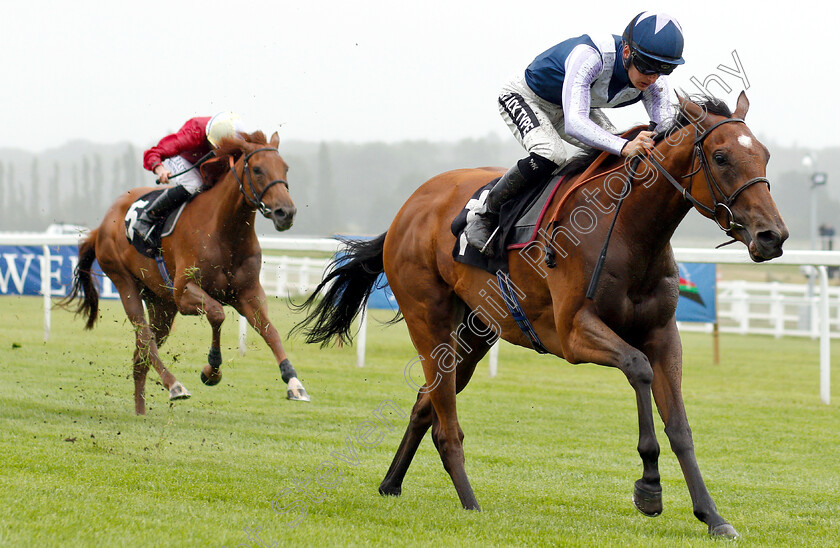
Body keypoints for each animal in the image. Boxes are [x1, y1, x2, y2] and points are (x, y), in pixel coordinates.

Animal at [60, 132, 308, 416]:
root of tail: (102, 225)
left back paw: (141, 411)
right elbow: (217, 313)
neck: (224, 231)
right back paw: (174, 385)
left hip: (161, 304)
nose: (286, 212)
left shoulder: (248, 294)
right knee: (145, 339)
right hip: (124, 282)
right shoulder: (184, 292)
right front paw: (211, 370)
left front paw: (294, 382)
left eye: (285, 168)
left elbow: (271, 331)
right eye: (257, 169)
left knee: (140, 355)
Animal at [296, 94, 788, 540]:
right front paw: (649, 488)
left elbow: (680, 426)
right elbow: (638, 368)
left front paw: (712, 515)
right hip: (427, 317)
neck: (630, 230)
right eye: (721, 157)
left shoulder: (663, 333)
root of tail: (409, 207)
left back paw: (391, 484)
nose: (773, 236)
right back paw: (470, 504)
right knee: (446, 423)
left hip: (475, 333)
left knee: (425, 401)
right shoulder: (574, 334)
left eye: (764, 154)